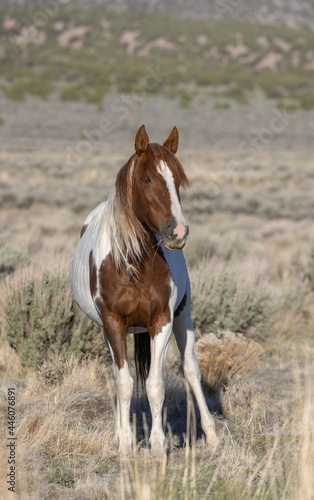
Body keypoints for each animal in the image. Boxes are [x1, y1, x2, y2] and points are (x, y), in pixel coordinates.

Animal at [70, 125, 218, 458]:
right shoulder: (113, 323)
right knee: (119, 375)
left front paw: (158, 446)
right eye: (148, 178)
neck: (133, 265)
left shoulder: (161, 320)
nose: (178, 232)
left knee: (191, 369)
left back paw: (212, 435)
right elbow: (124, 382)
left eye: (178, 179)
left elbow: (155, 384)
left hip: (183, 315)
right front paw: (125, 446)